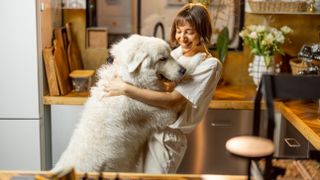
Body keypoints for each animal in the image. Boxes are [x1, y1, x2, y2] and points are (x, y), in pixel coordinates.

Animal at [52, 34, 186, 173]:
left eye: (170, 54)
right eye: (162, 59)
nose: (184, 70)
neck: (128, 79)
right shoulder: (162, 114)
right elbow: (174, 109)